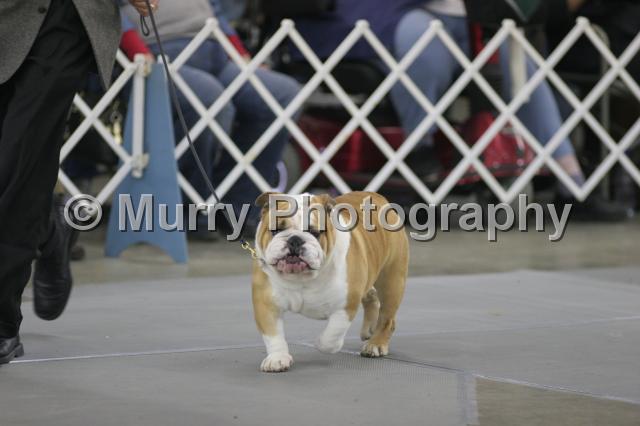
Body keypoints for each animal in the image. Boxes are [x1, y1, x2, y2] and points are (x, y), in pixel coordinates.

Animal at [251, 191, 409, 372]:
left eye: (315, 232)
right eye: (276, 230)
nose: (295, 239)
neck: (302, 277)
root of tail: (378, 197)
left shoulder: (346, 304)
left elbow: (331, 335)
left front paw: (321, 343)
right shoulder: (266, 303)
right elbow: (273, 335)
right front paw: (277, 358)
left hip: (391, 281)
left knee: (387, 318)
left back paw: (375, 344)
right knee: (372, 297)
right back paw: (369, 330)